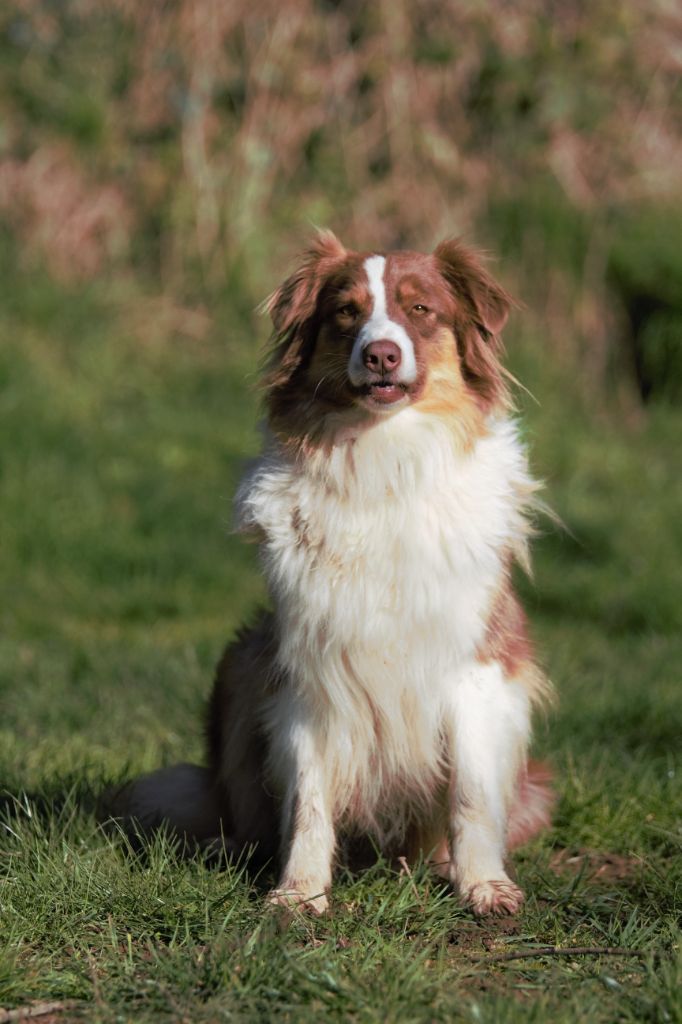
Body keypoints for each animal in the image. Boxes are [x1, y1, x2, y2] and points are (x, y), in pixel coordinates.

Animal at [109, 234, 548, 921]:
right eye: (346, 312)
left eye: (420, 309)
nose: (380, 354)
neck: (385, 463)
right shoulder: (309, 665)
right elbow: (310, 801)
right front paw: (299, 891)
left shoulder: (479, 665)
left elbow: (472, 794)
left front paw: (484, 886)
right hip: (244, 659)